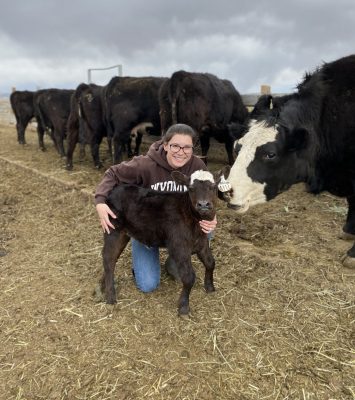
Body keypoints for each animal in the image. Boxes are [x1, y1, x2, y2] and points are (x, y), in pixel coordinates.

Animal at [99, 169, 222, 316]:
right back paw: (110, 296)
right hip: (113, 230)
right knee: (108, 258)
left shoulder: (202, 243)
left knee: (111, 259)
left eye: (213, 187)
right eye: (191, 188)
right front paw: (184, 307)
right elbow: (189, 277)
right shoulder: (179, 246)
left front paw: (210, 287)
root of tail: (115, 190)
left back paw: (102, 287)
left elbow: (210, 263)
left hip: (123, 234)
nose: (203, 204)